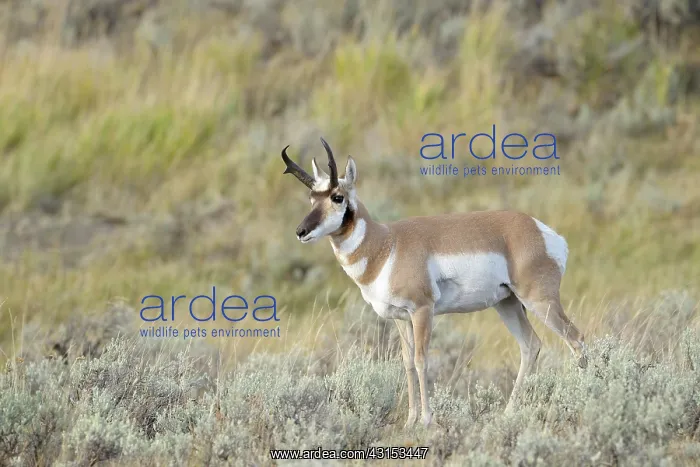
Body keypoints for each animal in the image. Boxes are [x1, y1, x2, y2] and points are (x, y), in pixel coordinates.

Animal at [281, 138, 587, 428]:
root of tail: (541, 230)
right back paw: (508, 414)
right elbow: (406, 363)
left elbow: (421, 360)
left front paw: (426, 419)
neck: (386, 245)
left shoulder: (422, 311)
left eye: (337, 196)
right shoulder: (400, 318)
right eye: (312, 197)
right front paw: (410, 420)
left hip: (539, 301)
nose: (301, 231)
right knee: (531, 345)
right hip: (508, 304)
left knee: (576, 339)